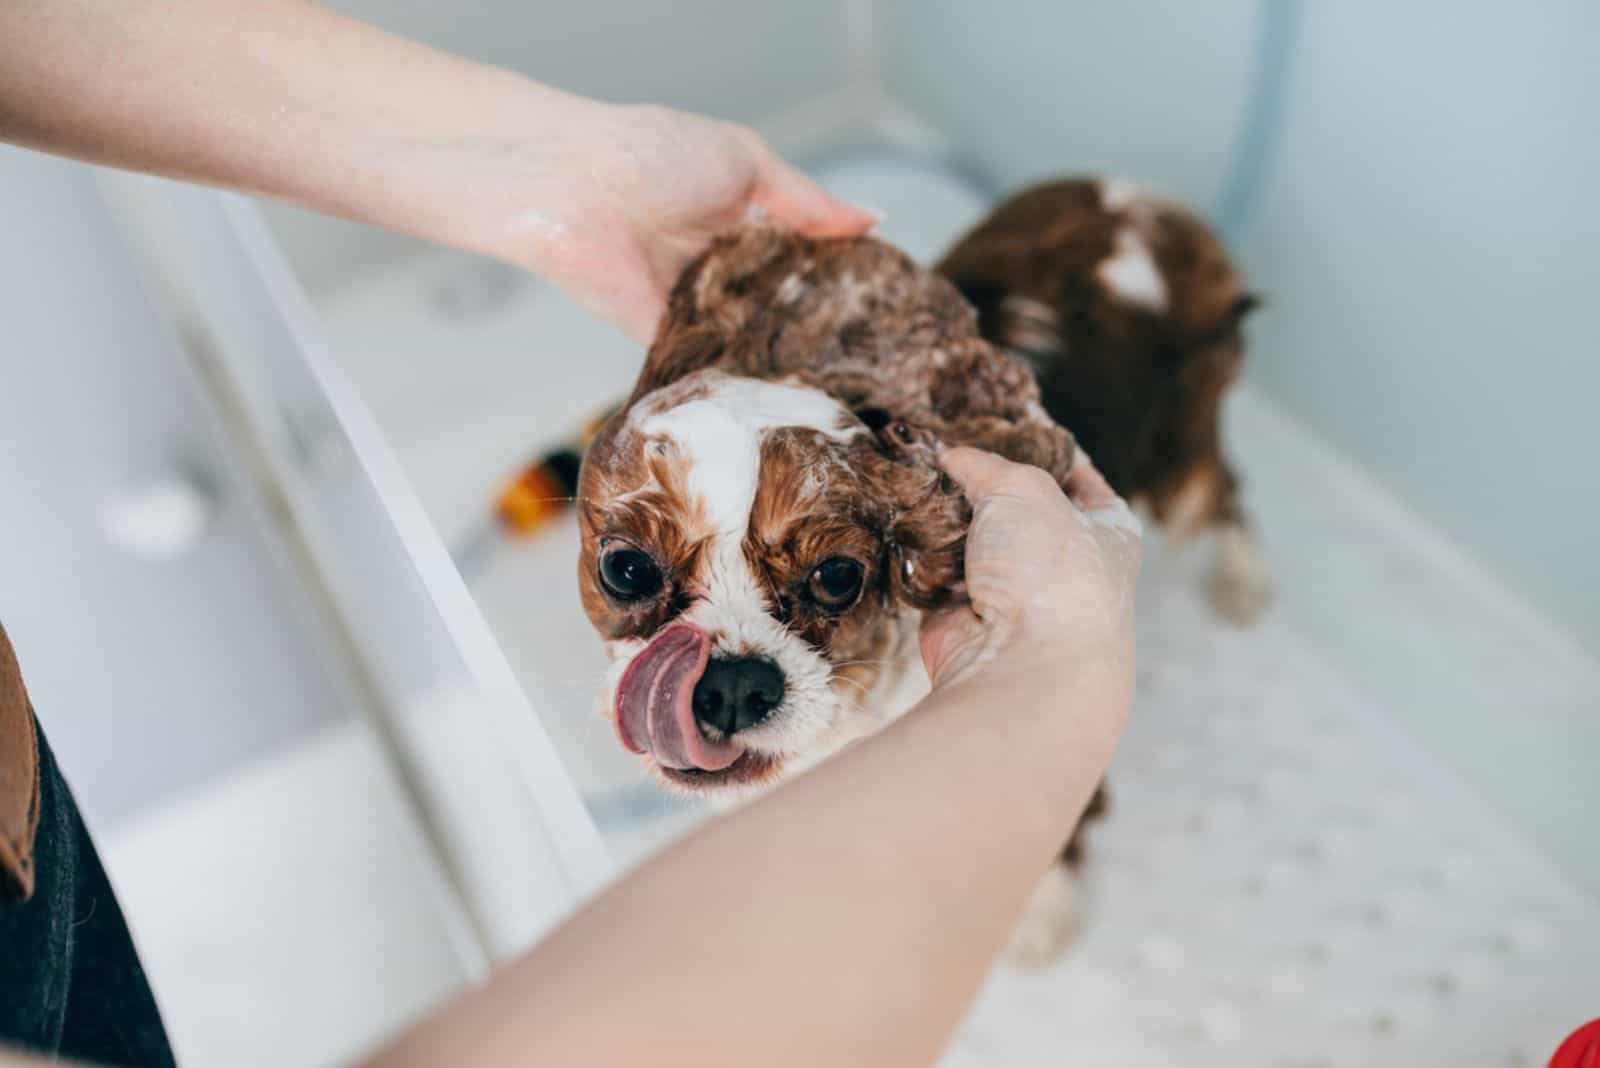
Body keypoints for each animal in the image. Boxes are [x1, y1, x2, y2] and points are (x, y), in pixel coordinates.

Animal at [572, 179, 1260, 965]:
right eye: (627, 569)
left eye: (838, 577)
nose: (733, 685)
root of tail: (1148, 203)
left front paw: (1045, 916)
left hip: (1182, 476)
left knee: (1228, 492)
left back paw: (1244, 583)